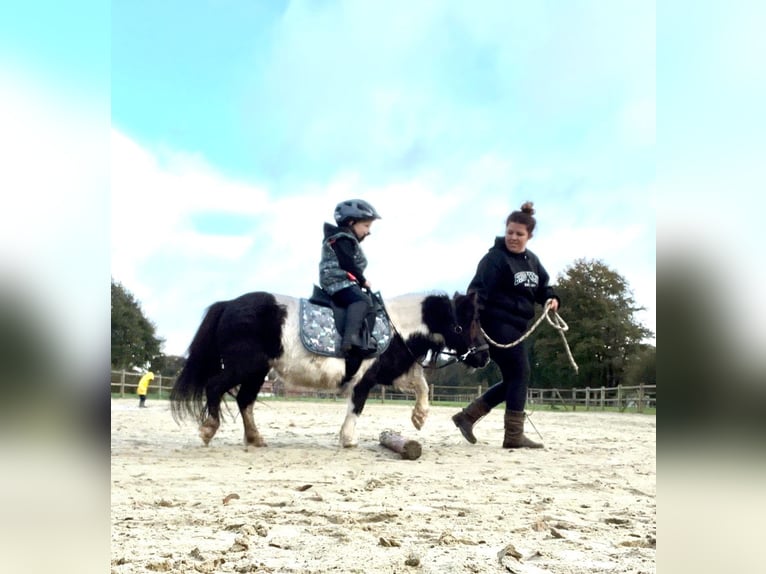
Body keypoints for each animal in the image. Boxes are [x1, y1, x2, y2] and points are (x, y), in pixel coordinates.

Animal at [171, 292, 488, 450]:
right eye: (469, 321)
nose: (485, 356)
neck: (396, 327)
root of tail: (228, 305)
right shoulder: (366, 378)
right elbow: (357, 406)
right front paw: (348, 439)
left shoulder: (392, 371)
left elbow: (421, 384)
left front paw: (419, 418)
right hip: (244, 366)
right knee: (216, 387)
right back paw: (209, 430)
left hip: (257, 371)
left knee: (244, 400)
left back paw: (255, 438)